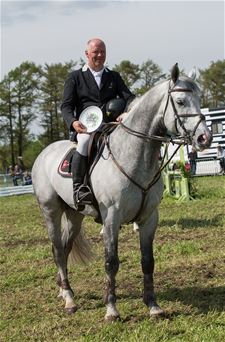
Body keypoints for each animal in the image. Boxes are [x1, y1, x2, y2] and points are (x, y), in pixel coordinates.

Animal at [32, 64, 212, 320]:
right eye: (180, 101)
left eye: (199, 100)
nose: (204, 138)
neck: (134, 155)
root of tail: (44, 153)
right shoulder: (111, 218)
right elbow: (111, 262)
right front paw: (111, 310)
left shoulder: (149, 218)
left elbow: (147, 261)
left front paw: (153, 306)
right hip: (51, 211)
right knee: (57, 249)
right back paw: (69, 300)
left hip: (74, 215)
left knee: (65, 248)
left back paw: (64, 290)